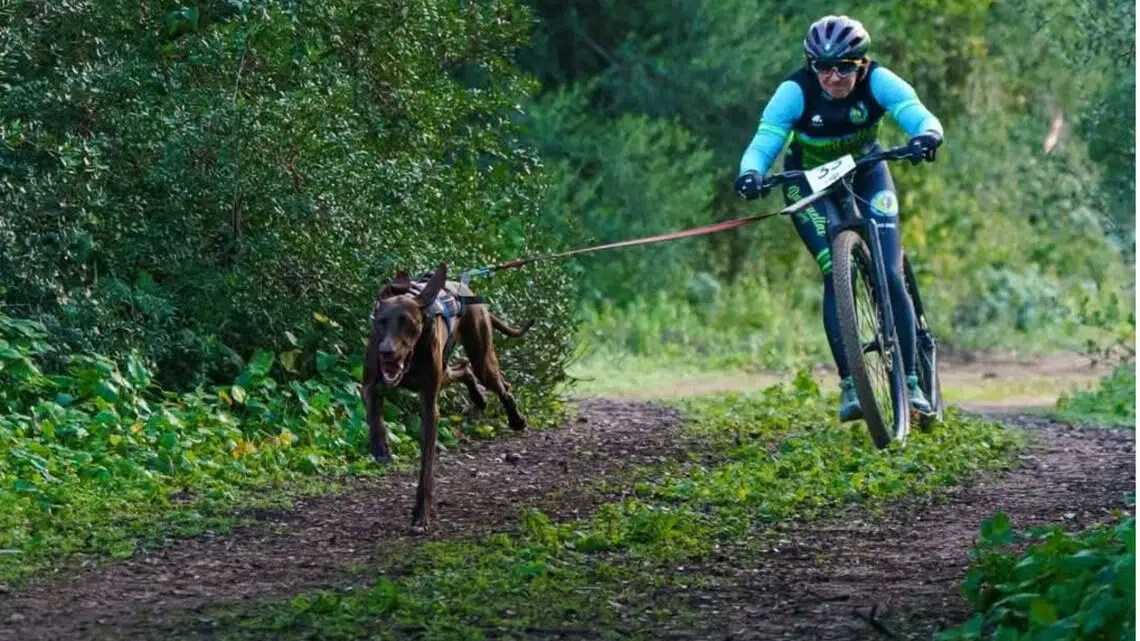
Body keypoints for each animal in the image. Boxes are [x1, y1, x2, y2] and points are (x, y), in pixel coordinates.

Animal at [360, 262, 528, 531]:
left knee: (500, 383)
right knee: (464, 368)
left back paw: (515, 418)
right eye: (381, 321)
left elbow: (426, 468)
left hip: (482, 358)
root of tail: (466, 290)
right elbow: (373, 414)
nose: (386, 352)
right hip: (449, 366)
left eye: (408, 323)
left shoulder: (430, 407)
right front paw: (381, 447)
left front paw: (422, 514)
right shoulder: (370, 384)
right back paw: (479, 397)